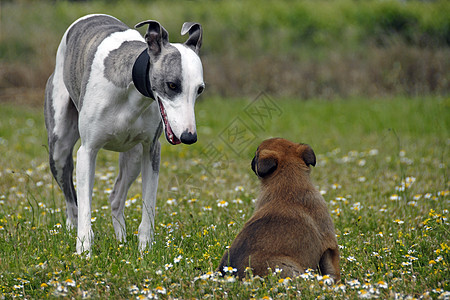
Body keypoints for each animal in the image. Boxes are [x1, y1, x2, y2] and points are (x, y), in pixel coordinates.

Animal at [44, 12, 205, 254]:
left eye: (200, 89)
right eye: (172, 85)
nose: (189, 137)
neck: (132, 90)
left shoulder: (151, 151)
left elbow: (148, 206)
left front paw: (145, 249)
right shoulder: (88, 152)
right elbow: (85, 206)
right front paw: (85, 249)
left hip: (134, 156)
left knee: (115, 198)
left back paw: (121, 239)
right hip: (59, 149)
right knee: (71, 201)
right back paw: (72, 229)